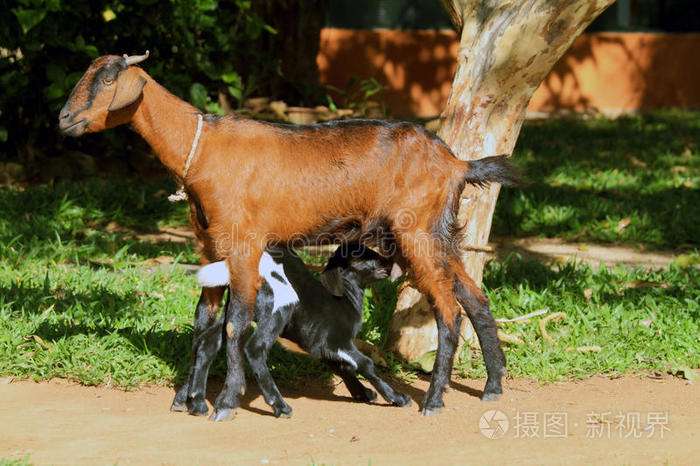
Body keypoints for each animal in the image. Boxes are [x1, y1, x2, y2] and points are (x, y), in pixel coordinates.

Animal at [60, 52, 516, 420]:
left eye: (106, 80)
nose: (64, 119)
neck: (203, 150)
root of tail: (457, 163)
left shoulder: (244, 246)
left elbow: (234, 326)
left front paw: (226, 402)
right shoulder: (209, 247)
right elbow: (203, 324)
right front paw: (186, 399)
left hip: (416, 232)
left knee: (448, 309)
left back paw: (434, 399)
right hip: (437, 234)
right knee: (475, 298)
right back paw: (492, 386)